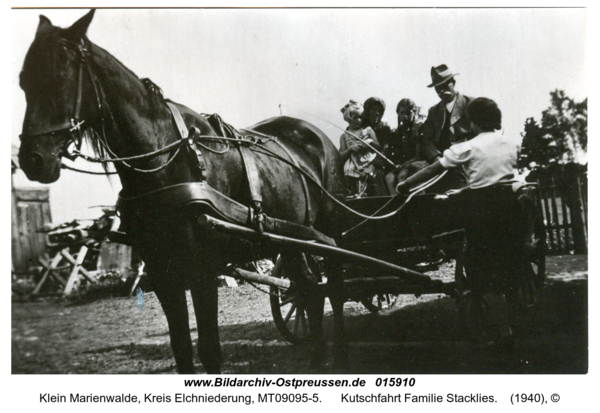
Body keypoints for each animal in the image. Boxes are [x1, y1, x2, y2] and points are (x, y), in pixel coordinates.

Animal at [18, 9, 350, 372]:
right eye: (23, 81)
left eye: (60, 77)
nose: (31, 160)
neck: (167, 158)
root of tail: (317, 137)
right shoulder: (163, 271)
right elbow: (181, 348)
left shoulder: (203, 268)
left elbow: (209, 348)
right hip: (292, 239)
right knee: (308, 289)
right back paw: (317, 358)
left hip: (331, 232)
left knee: (334, 287)